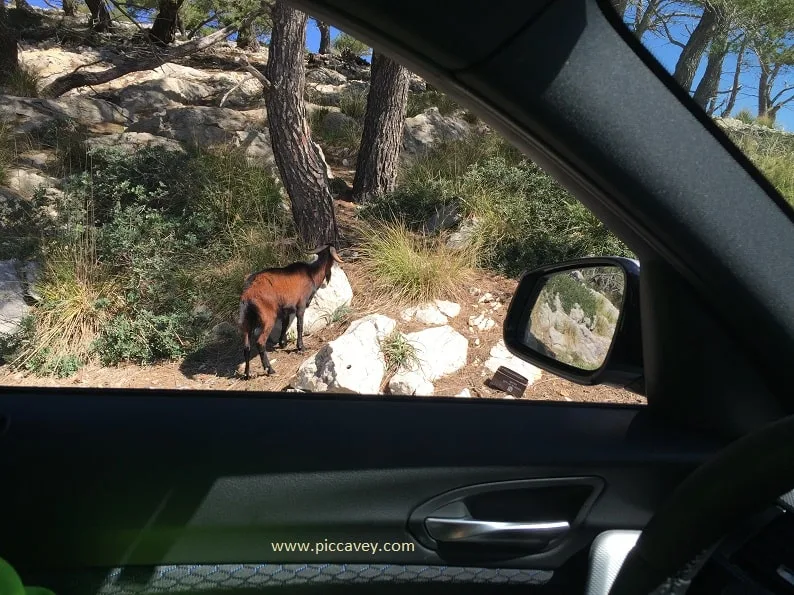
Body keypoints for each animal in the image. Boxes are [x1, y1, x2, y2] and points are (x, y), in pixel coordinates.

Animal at [238, 244, 344, 380]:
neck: (311, 273)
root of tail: (247, 293)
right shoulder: (301, 306)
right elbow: (299, 326)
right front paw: (301, 347)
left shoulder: (285, 309)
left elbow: (285, 324)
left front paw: (282, 343)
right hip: (268, 317)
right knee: (260, 342)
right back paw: (270, 369)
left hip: (247, 319)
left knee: (246, 346)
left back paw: (247, 373)